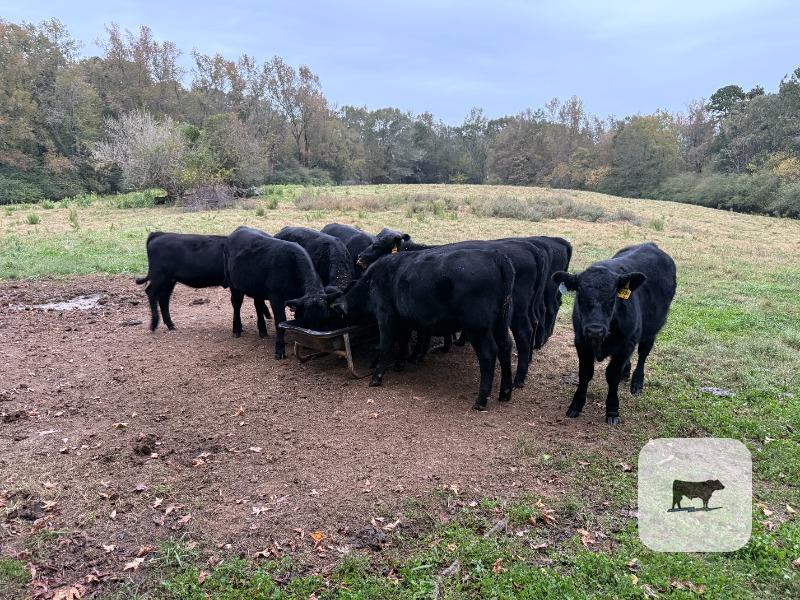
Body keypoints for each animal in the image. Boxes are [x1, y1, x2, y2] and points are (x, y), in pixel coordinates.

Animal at [135, 232, 270, 335]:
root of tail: (159, 234)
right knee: (151, 293)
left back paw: (170, 324)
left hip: (169, 280)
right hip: (159, 277)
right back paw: (154, 324)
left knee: (164, 298)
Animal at [223, 226, 340, 358]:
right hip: (233, 284)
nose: (316, 343)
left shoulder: (298, 300)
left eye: (327, 318)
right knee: (236, 305)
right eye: (308, 319)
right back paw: (237, 329)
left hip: (257, 288)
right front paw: (279, 349)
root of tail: (240, 228)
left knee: (258, 305)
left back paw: (262, 330)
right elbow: (280, 322)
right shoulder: (276, 298)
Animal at [331, 247, 515, 410]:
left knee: (488, 354)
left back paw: (481, 400)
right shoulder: (403, 320)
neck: (372, 280)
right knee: (505, 347)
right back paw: (505, 393)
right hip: (501, 322)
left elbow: (384, 345)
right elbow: (403, 341)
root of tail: (495, 256)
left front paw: (376, 377)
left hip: (478, 327)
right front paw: (399, 364)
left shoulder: (385, 316)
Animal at [356, 231, 546, 387]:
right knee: (527, 327)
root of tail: (528, 247)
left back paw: (518, 379)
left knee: (523, 333)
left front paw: (412, 357)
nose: (359, 256)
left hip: (515, 311)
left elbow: (414, 335)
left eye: (377, 245)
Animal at [553, 242, 677, 424]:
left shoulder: (624, 346)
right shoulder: (581, 342)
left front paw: (612, 410)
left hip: (652, 329)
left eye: (613, 298)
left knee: (643, 354)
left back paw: (637, 383)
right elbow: (585, 373)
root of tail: (650, 245)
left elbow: (612, 376)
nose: (595, 330)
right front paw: (576, 405)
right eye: (580, 296)